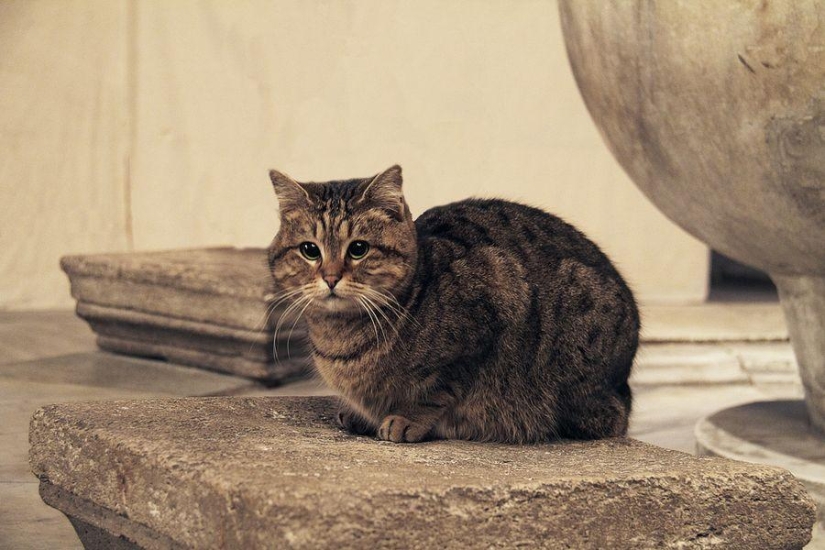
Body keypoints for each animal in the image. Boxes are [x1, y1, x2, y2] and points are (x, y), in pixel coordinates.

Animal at [268, 166, 640, 446]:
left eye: (358, 248)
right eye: (310, 250)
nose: (330, 277)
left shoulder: (489, 312)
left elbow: (438, 390)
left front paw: (405, 418)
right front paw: (360, 413)